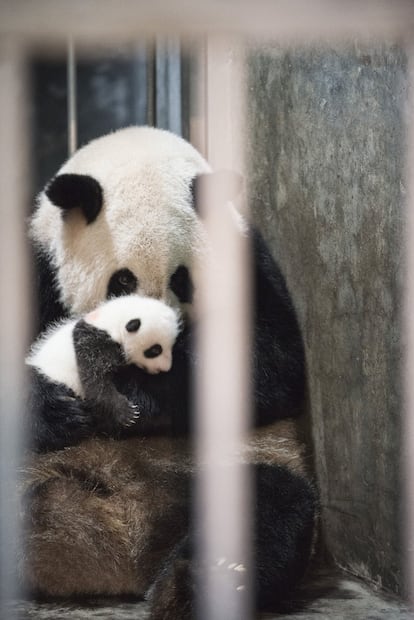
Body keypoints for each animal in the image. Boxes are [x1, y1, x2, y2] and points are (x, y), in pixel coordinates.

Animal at [20, 124, 316, 616]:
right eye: (121, 280)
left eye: (183, 280)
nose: (154, 345)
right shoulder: (39, 266)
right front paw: (59, 409)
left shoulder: (249, 264)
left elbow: (271, 360)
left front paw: (134, 394)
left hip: (226, 468)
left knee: (271, 504)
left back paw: (196, 585)